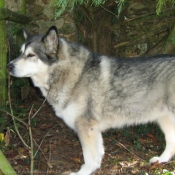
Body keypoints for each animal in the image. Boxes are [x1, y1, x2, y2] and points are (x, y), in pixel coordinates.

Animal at [8, 26, 175, 175]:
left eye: (31, 55)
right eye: (21, 53)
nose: (9, 66)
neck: (73, 74)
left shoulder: (86, 127)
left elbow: (88, 157)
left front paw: (83, 172)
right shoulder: (94, 130)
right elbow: (97, 155)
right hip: (165, 120)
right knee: (171, 143)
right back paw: (161, 160)